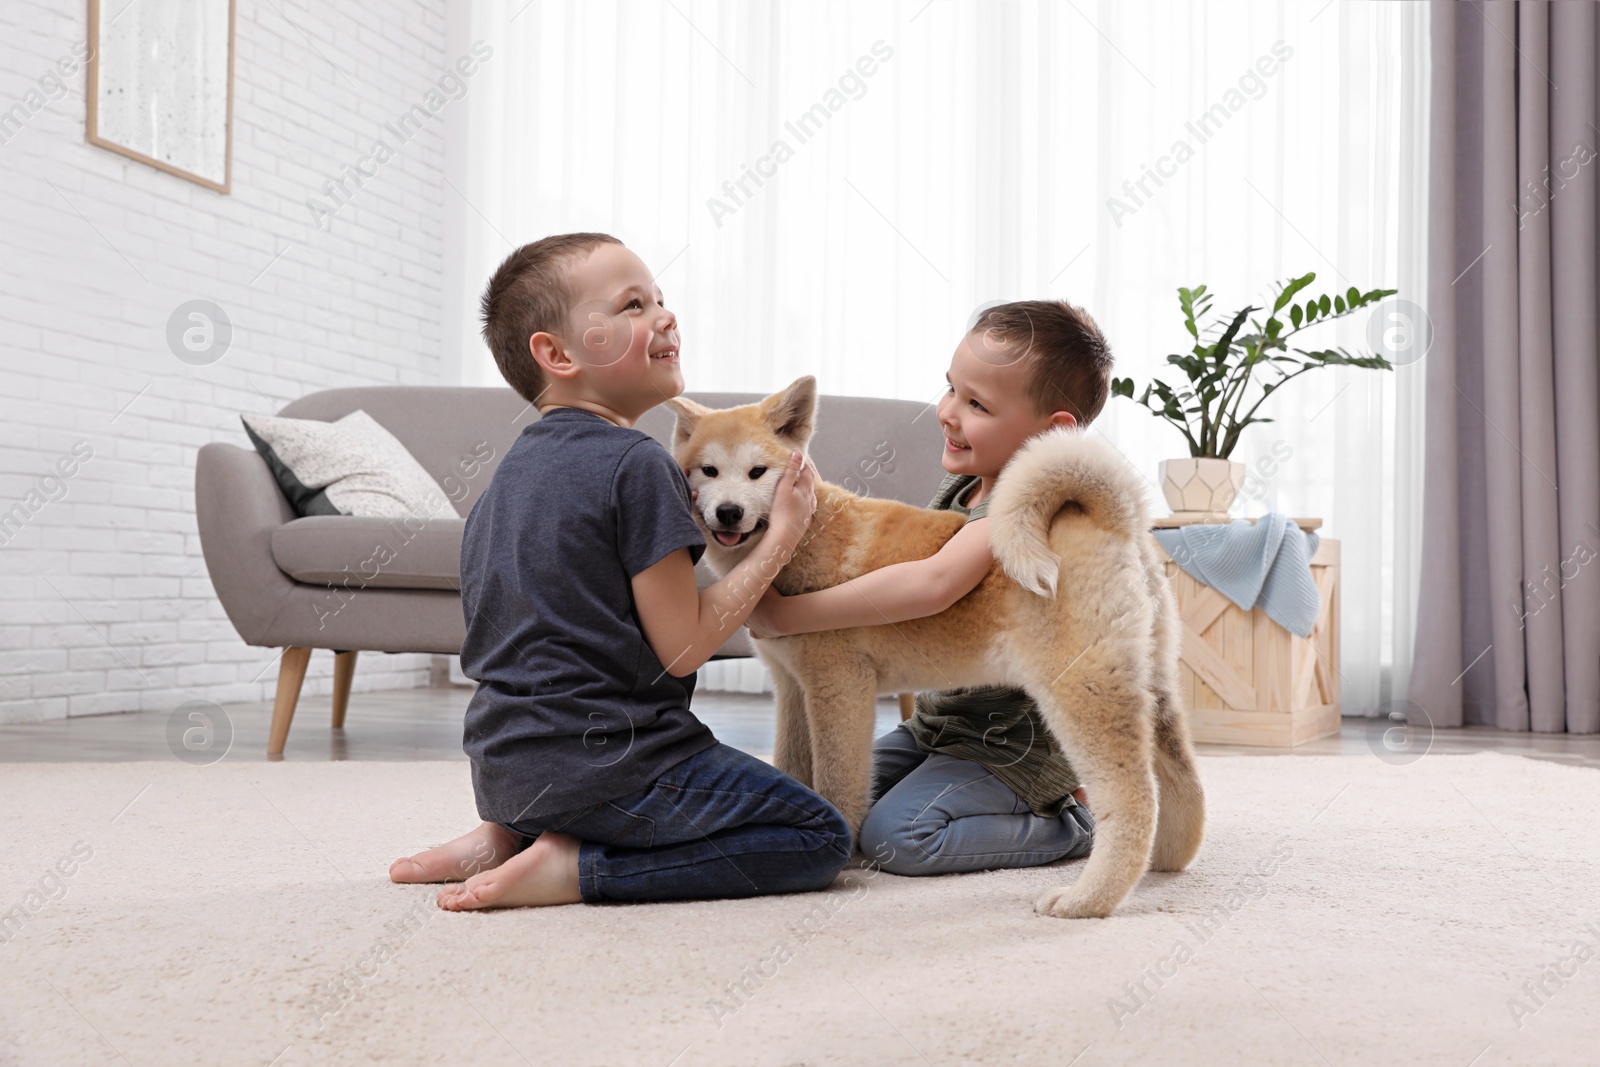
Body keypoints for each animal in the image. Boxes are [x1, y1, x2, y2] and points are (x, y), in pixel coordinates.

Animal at [662, 375, 1203, 921]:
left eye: (757, 472)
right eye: (708, 470)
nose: (728, 512)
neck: (802, 539)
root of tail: (1114, 520)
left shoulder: (839, 688)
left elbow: (837, 782)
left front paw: (838, 849)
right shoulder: (793, 688)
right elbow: (793, 767)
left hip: (1082, 691)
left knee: (1133, 798)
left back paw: (1088, 897)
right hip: (1152, 686)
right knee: (1183, 781)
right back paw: (1165, 863)